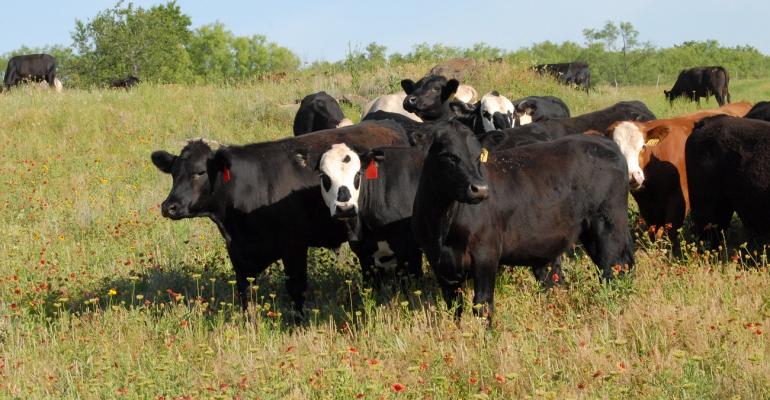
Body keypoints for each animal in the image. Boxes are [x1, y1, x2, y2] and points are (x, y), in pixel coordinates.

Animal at [151, 122, 412, 316]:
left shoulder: (294, 246)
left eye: (199, 172)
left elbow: (296, 288)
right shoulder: (238, 252)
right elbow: (246, 293)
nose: (169, 206)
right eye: (173, 172)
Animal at [604, 101, 748, 255]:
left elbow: (670, 232)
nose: (632, 177)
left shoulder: (679, 200)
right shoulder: (646, 205)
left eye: (643, 146)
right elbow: (653, 232)